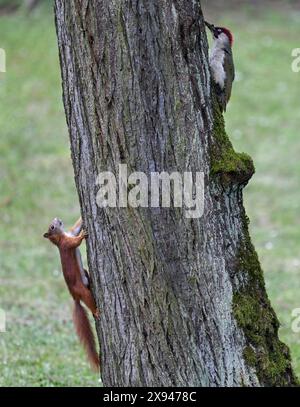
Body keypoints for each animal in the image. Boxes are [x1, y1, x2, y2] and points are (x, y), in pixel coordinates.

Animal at [43, 218, 99, 372]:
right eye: (52, 226)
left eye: (54, 222)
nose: (57, 219)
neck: (62, 235)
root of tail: (74, 297)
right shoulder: (67, 244)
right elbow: (75, 242)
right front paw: (83, 235)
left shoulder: (71, 233)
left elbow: (76, 228)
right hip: (82, 291)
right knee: (89, 300)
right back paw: (96, 311)